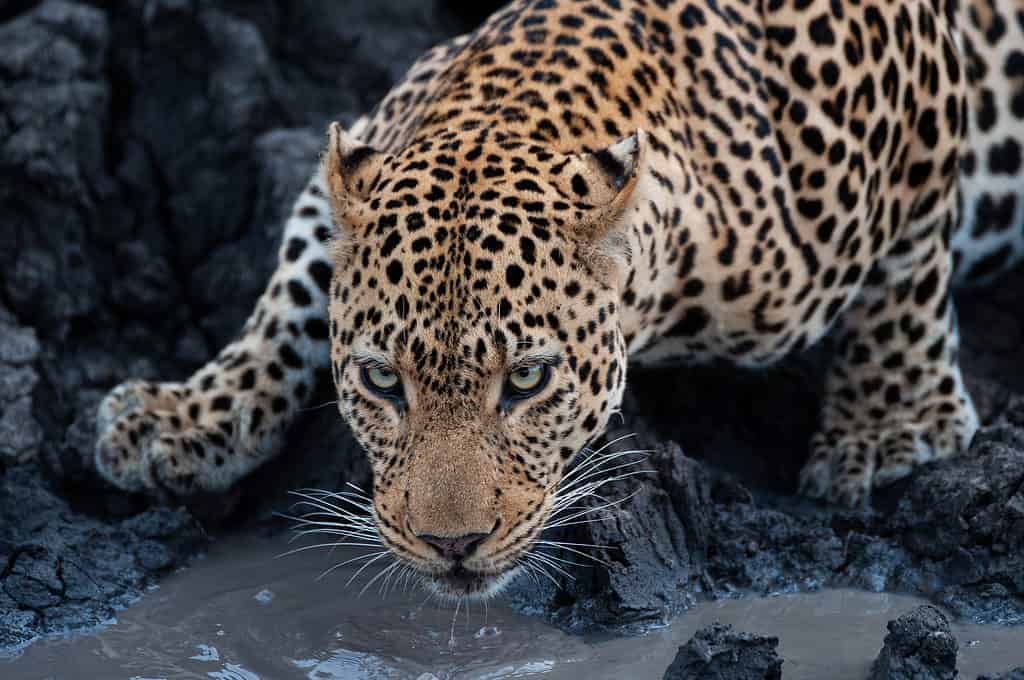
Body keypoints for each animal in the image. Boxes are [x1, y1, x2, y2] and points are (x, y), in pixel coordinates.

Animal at [90, 0, 1024, 593]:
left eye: (529, 381)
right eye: (383, 382)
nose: (453, 546)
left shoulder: (915, 72)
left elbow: (908, 263)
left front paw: (891, 426)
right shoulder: (352, 176)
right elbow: (288, 290)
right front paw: (184, 418)